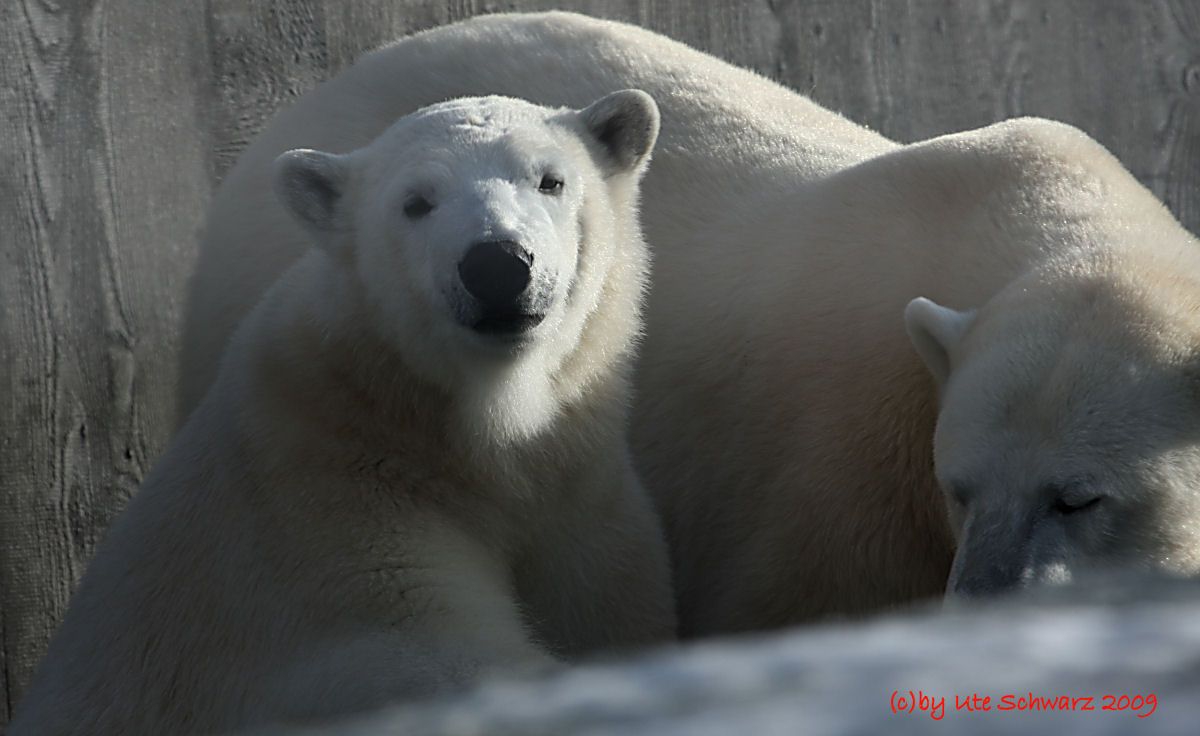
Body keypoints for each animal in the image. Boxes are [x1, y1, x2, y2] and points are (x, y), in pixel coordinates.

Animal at [7, 91, 676, 734]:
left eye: (550, 180)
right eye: (416, 202)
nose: (497, 264)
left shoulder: (584, 505)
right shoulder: (320, 503)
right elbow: (406, 651)